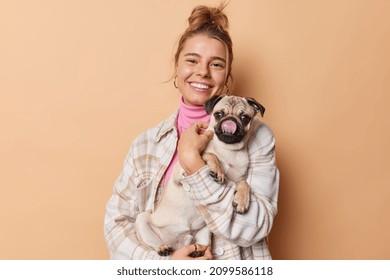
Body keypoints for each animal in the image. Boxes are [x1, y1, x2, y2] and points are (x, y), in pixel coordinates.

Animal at [134, 95, 266, 258]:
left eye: (244, 118)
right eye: (219, 114)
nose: (230, 120)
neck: (228, 150)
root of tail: (177, 245)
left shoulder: (237, 180)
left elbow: (244, 184)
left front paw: (241, 201)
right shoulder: (181, 170)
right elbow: (210, 154)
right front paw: (218, 170)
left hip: (204, 230)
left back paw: (199, 252)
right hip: (142, 220)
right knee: (152, 241)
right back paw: (162, 247)